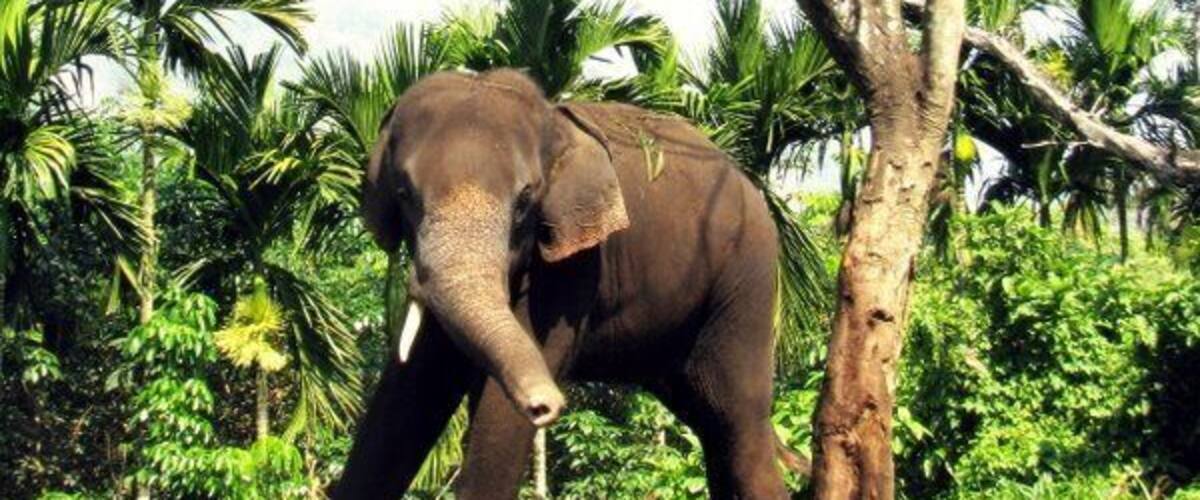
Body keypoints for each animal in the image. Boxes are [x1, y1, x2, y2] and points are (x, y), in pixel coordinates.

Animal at [334, 68, 789, 499]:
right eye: (404, 193)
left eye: (525, 199)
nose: (546, 403)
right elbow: (408, 393)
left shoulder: (577, 261)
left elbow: (497, 414)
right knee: (710, 423)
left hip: (747, 277)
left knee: (739, 420)